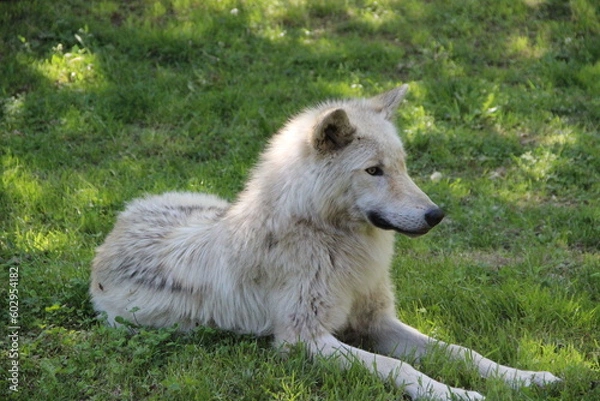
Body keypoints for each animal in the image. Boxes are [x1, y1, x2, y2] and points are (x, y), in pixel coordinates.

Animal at [91, 86, 560, 398]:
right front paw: (456, 394)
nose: (436, 215)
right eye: (373, 171)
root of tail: (117, 227)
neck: (333, 244)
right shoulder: (304, 340)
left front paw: (526, 378)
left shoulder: (376, 322)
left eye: (402, 166)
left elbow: (462, 352)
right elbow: (398, 367)